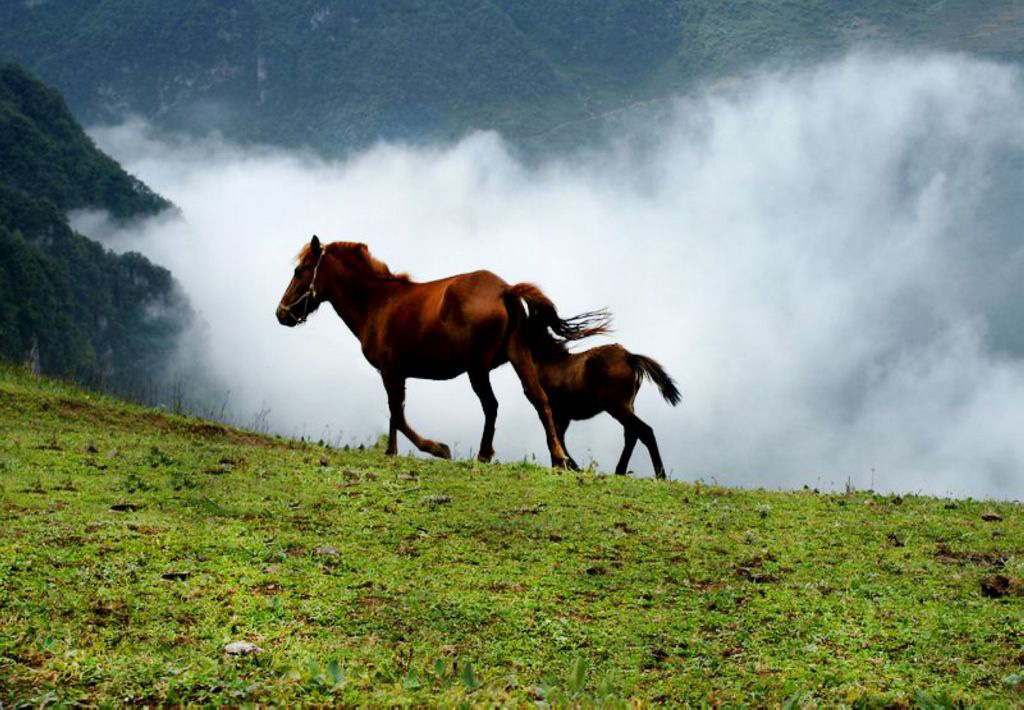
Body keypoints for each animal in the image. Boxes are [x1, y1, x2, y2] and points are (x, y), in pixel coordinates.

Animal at [274, 235, 606, 467]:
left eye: (299, 270)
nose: (281, 313)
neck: (378, 301)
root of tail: (505, 290)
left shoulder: (390, 372)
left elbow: (398, 415)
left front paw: (435, 448)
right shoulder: (395, 374)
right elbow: (394, 414)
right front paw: (391, 451)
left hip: (477, 369)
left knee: (492, 406)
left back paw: (485, 454)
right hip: (518, 357)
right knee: (540, 401)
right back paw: (558, 459)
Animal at [528, 331, 679, 475]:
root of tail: (629, 357)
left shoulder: (550, 410)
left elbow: (553, 437)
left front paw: (566, 467)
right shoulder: (563, 415)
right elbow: (558, 438)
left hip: (616, 406)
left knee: (645, 431)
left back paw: (660, 475)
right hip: (627, 406)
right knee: (632, 434)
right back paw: (620, 471)